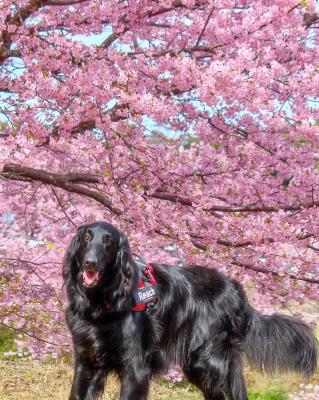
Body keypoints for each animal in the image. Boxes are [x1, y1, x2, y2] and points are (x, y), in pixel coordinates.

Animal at [63, 220, 318, 398]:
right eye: (86, 237)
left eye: (109, 241)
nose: (90, 263)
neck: (100, 305)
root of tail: (237, 290)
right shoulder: (86, 363)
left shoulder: (136, 367)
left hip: (212, 362)